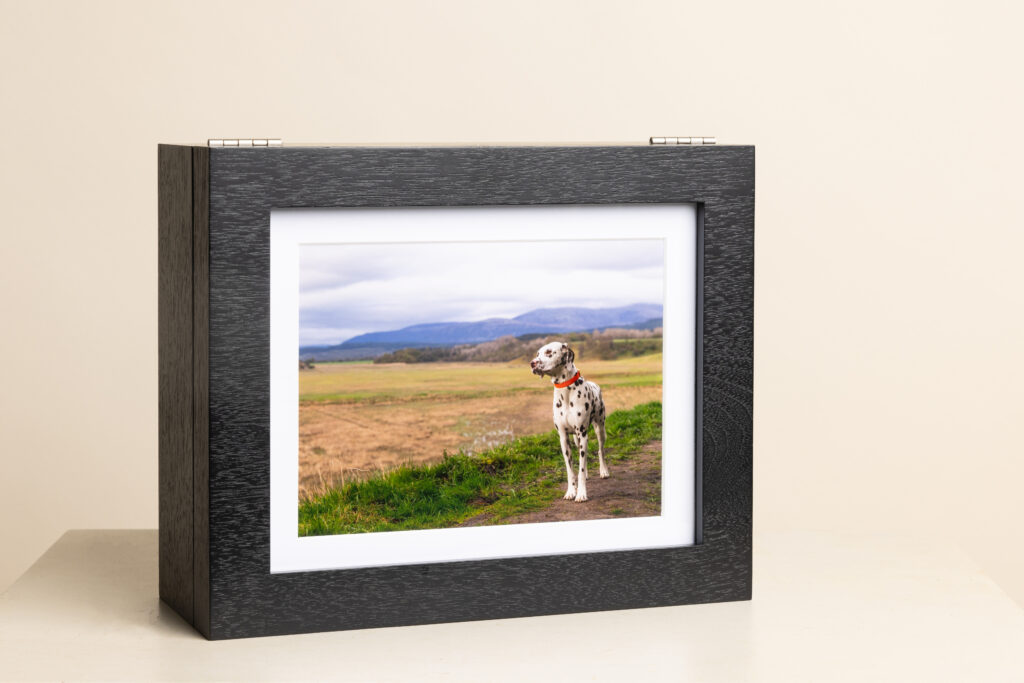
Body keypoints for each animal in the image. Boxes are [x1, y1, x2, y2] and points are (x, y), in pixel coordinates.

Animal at [532, 342, 602, 501]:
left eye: (549, 352)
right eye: (538, 353)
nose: (532, 363)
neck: (565, 392)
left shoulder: (583, 434)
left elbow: (580, 469)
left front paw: (581, 493)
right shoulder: (564, 439)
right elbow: (571, 471)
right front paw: (571, 491)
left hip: (599, 429)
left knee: (601, 451)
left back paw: (604, 471)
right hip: (577, 440)